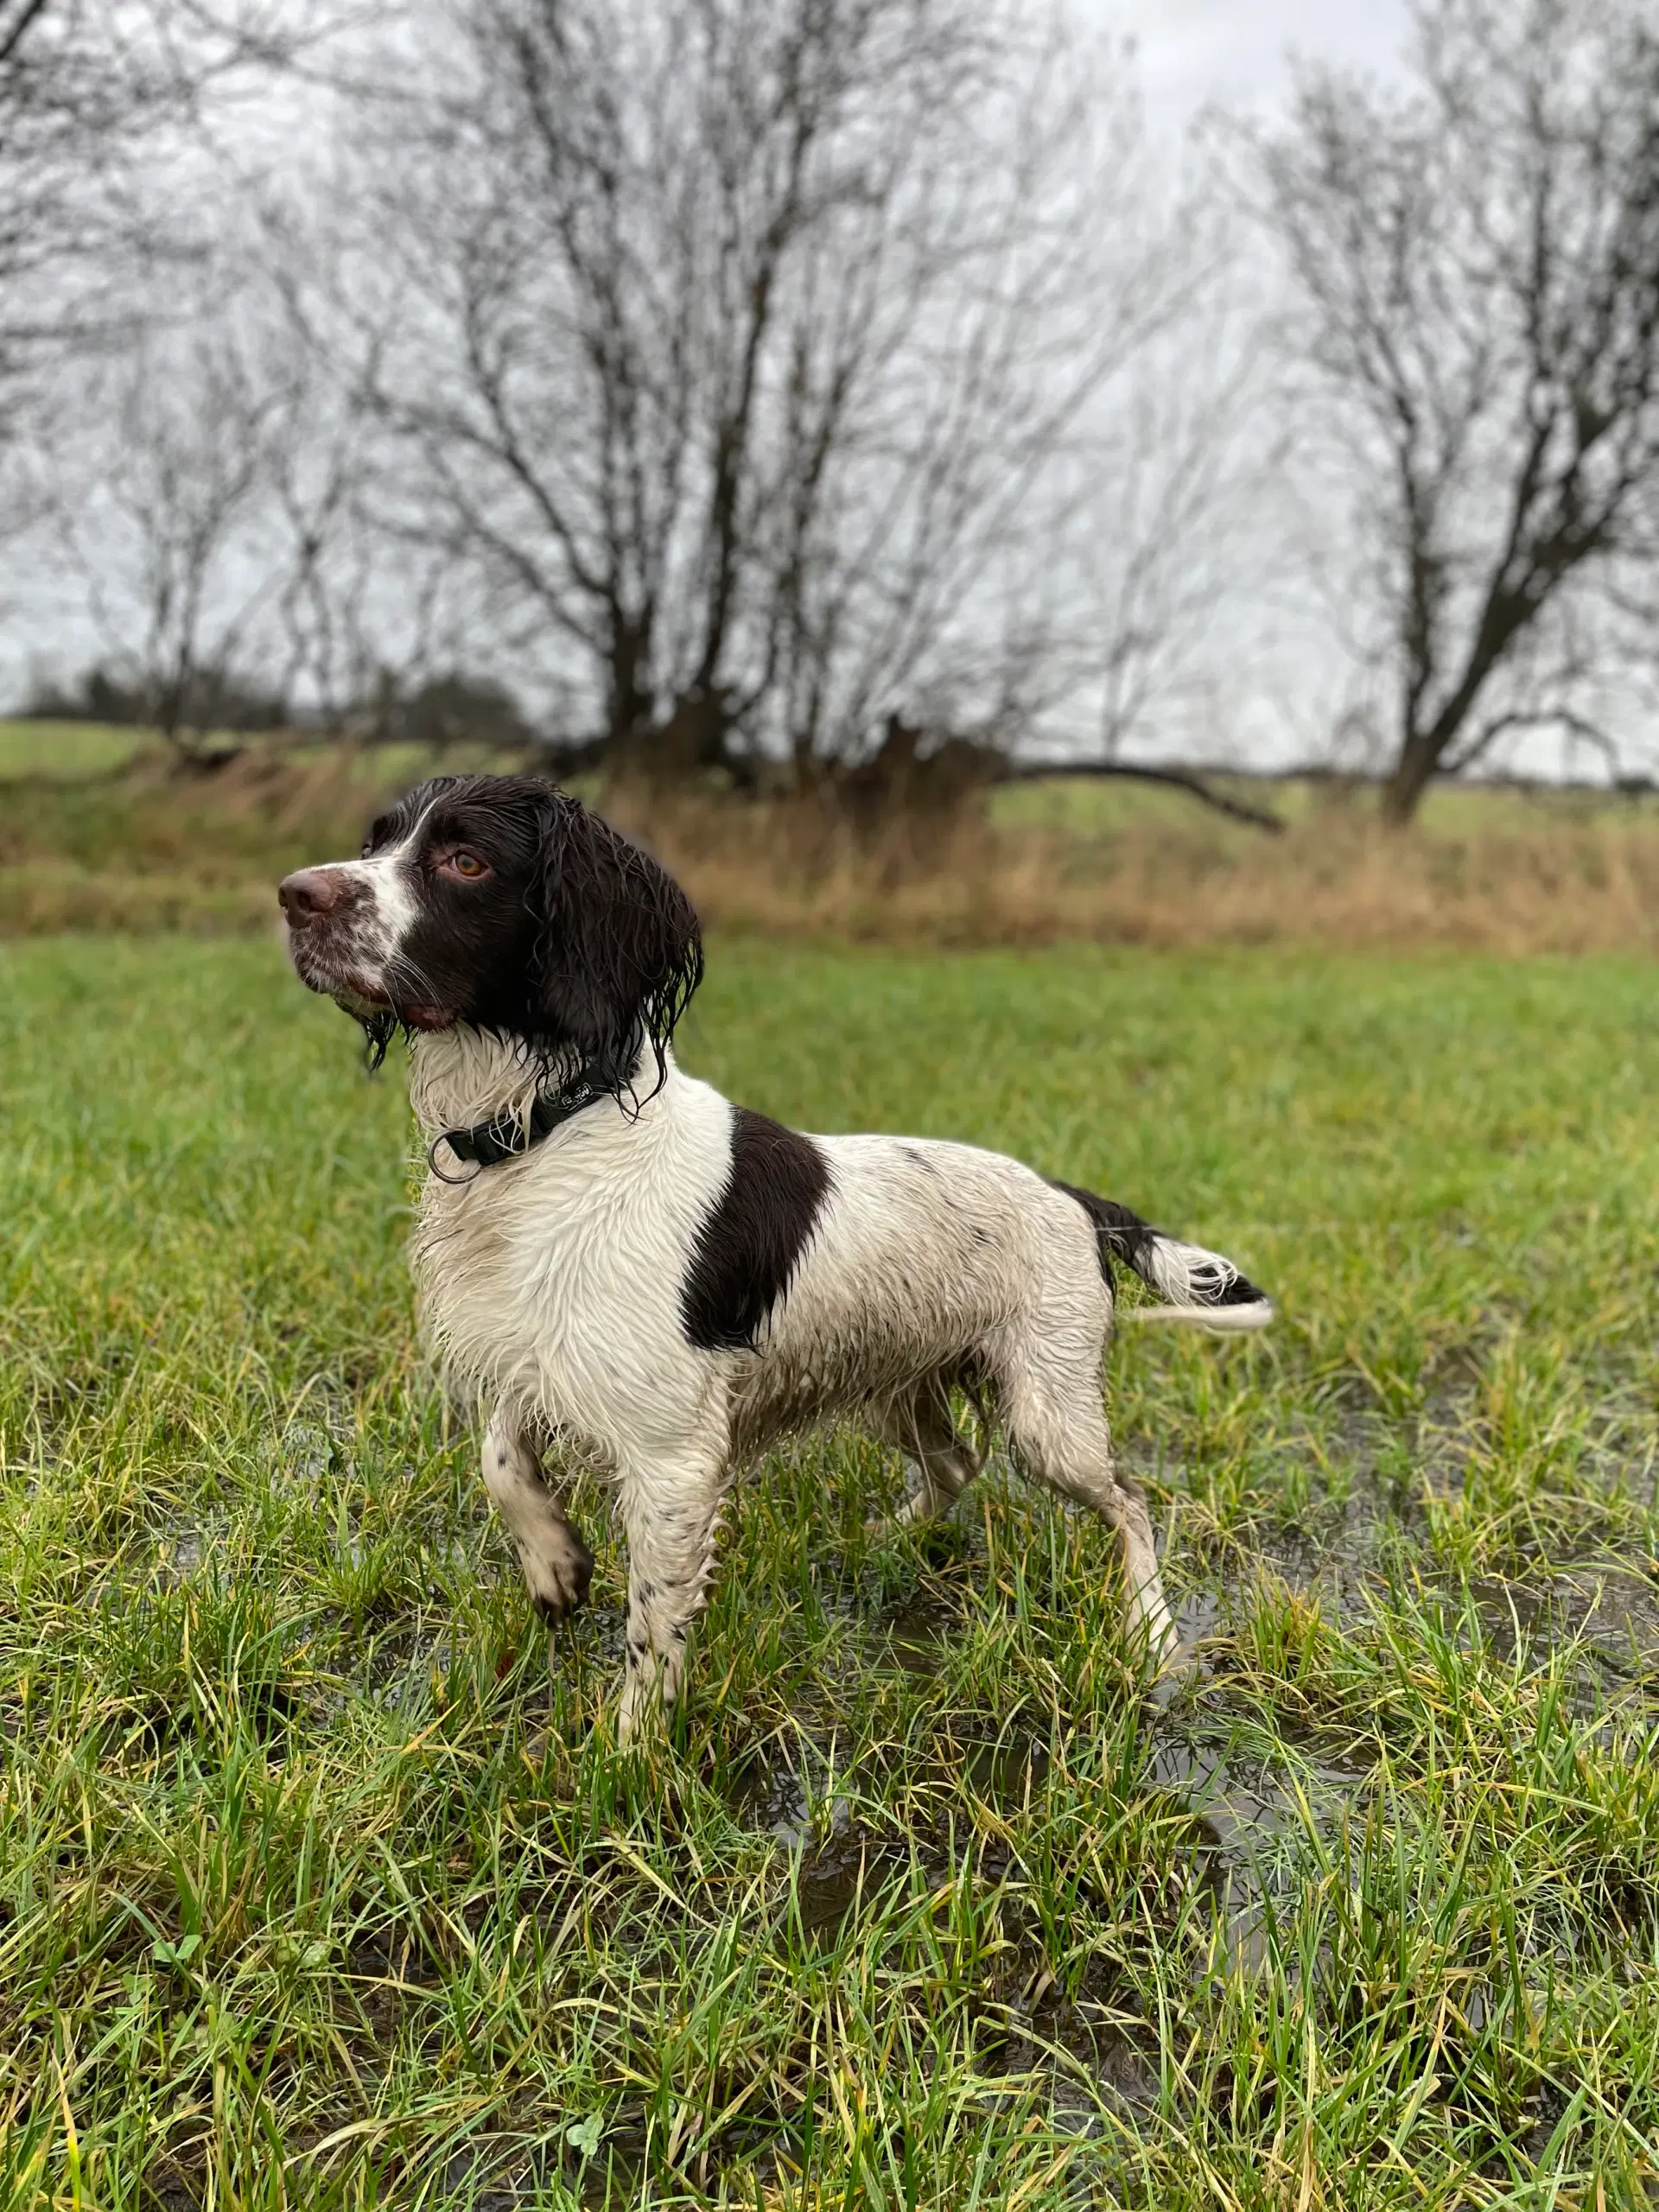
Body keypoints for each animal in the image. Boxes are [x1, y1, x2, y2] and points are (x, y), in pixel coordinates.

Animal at [285, 774, 1274, 1725]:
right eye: (377, 840)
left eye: (465, 860)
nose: (296, 896)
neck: (546, 1130)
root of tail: (1072, 1198)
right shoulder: (545, 1356)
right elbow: (499, 1455)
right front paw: (555, 1563)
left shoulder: (674, 1456)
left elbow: (652, 1631)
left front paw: (631, 1753)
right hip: (898, 1384)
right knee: (956, 1463)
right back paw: (889, 1539)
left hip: (1048, 1413)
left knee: (1131, 1500)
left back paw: (1151, 1633)